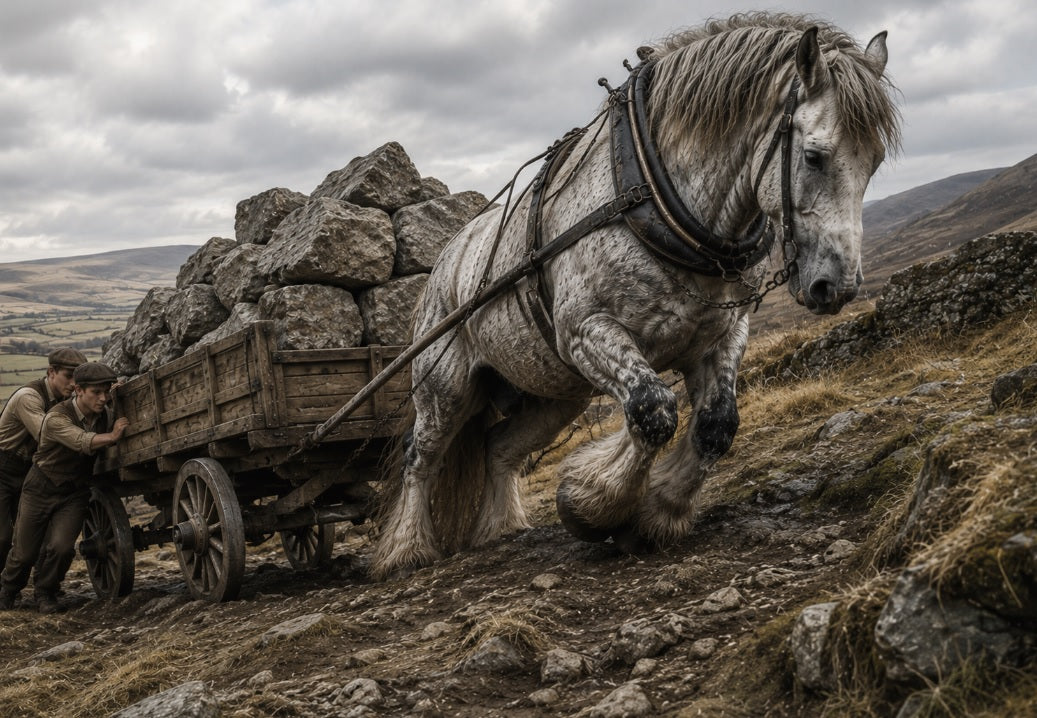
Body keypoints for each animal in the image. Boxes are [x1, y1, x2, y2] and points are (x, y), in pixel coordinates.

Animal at [371, 12, 901, 580]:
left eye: (874, 161)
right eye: (814, 156)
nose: (838, 286)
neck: (654, 195)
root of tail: (445, 260)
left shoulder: (722, 335)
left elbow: (716, 425)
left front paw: (658, 512)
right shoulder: (588, 333)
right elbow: (653, 410)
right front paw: (592, 505)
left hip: (553, 392)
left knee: (498, 448)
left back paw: (501, 527)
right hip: (444, 389)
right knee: (421, 456)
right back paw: (406, 549)